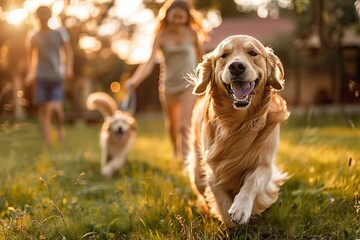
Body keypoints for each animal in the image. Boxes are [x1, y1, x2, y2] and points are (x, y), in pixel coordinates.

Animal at [186, 34, 290, 228]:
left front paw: (241, 208)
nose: (236, 67)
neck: (238, 123)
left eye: (253, 53)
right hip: (197, 171)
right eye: (223, 55)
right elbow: (221, 199)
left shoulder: (265, 163)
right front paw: (230, 217)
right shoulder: (213, 169)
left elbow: (253, 179)